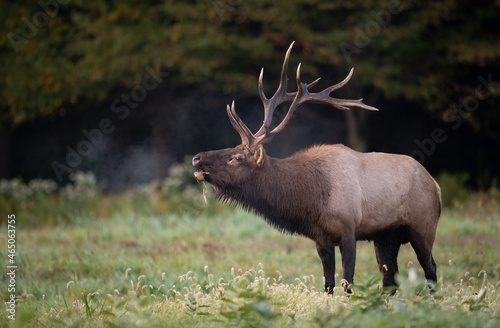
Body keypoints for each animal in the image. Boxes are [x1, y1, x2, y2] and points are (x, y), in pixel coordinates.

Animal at [191, 42, 442, 294]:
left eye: (237, 157)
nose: (196, 157)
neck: (312, 198)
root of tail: (436, 185)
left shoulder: (349, 229)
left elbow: (347, 282)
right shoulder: (320, 239)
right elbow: (328, 284)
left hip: (424, 227)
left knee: (430, 269)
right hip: (386, 237)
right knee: (391, 278)